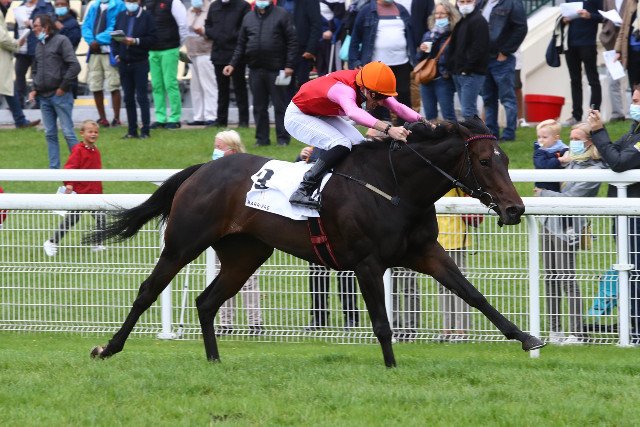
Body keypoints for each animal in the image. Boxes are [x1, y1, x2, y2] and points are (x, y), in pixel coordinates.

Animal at [88, 117, 545, 367]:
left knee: (206, 301)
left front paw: (526, 338)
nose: (515, 209)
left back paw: (214, 359)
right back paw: (108, 348)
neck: (394, 186)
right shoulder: (367, 262)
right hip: (184, 243)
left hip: (245, 253)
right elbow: (382, 322)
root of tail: (202, 168)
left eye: (506, 160)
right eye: (484, 161)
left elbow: (472, 294)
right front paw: (392, 367)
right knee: (149, 290)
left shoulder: (425, 252)